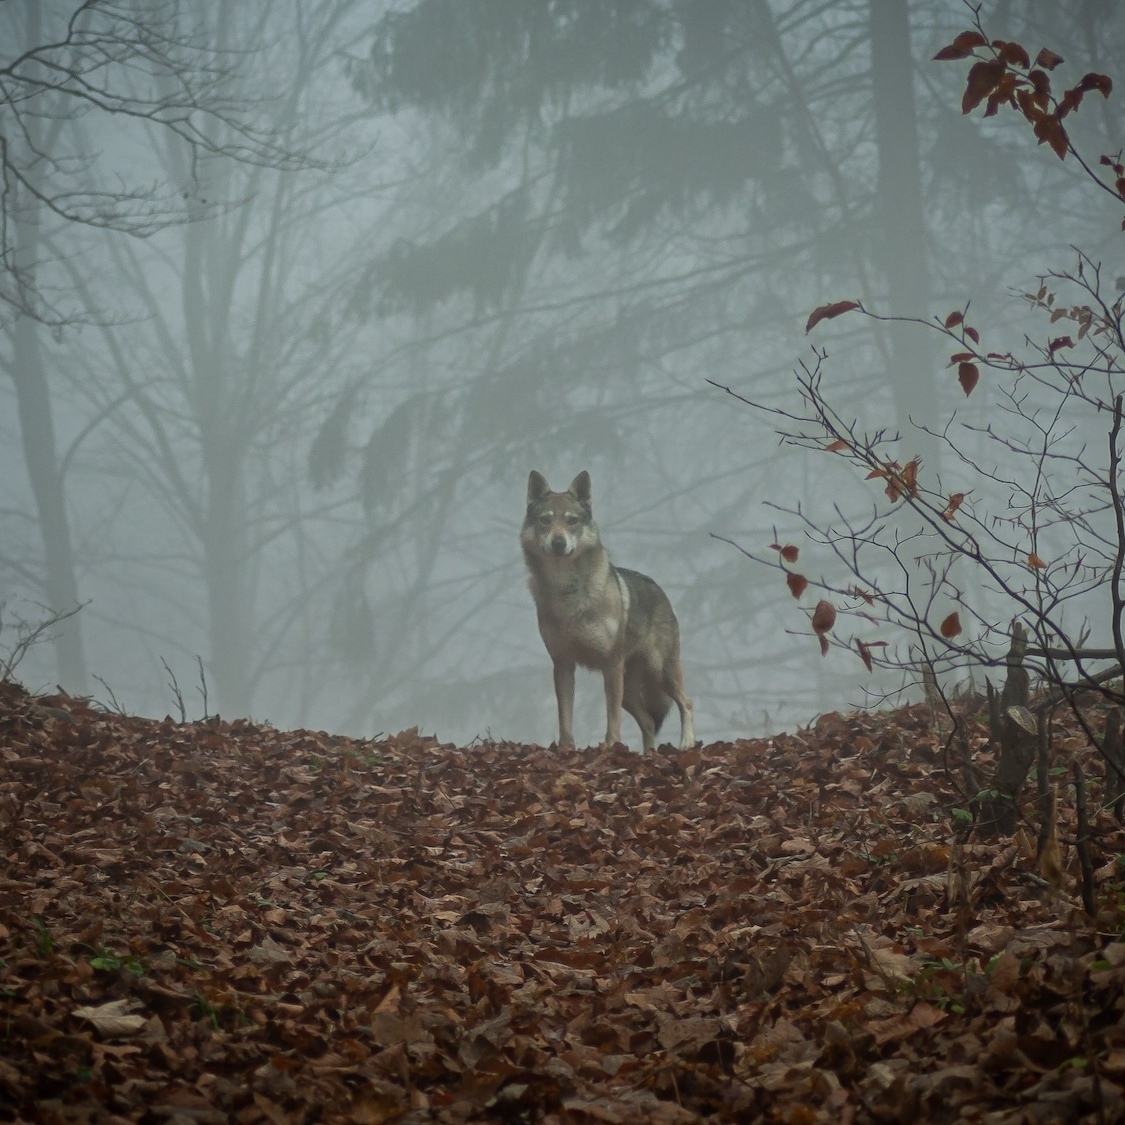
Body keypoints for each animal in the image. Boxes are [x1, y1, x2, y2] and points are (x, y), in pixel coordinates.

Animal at [521, 470, 695, 751]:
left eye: (572, 521)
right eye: (546, 520)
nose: (558, 543)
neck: (568, 590)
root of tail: (661, 591)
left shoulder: (611, 665)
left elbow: (611, 718)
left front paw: (612, 747)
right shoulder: (563, 664)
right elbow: (565, 717)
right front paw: (567, 750)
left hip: (659, 674)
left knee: (686, 702)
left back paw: (687, 743)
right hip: (630, 691)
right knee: (648, 722)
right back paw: (648, 754)